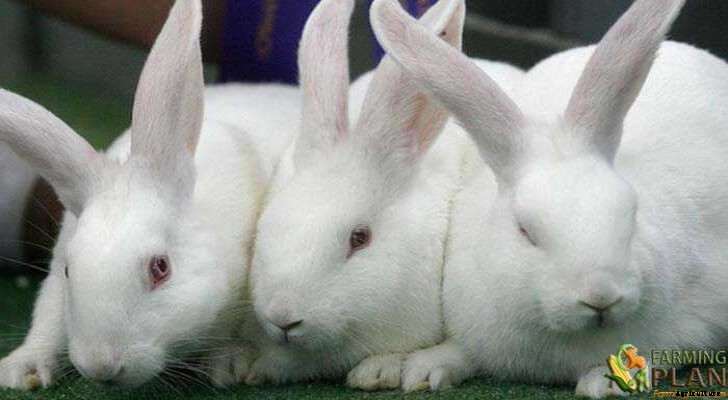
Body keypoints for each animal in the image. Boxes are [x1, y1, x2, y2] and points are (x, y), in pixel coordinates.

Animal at [0, 0, 300, 390]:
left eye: (160, 268)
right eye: (68, 269)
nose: (101, 366)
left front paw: (228, 364)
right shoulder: (55, 283)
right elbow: (48, 317)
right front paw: (21, 371)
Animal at [372, 0, 728, 397]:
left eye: (631, 216)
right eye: (525, 232)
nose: (600, 296)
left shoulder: (699, 322)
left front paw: (603, 383)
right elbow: (463, 351)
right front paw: (423, 370)